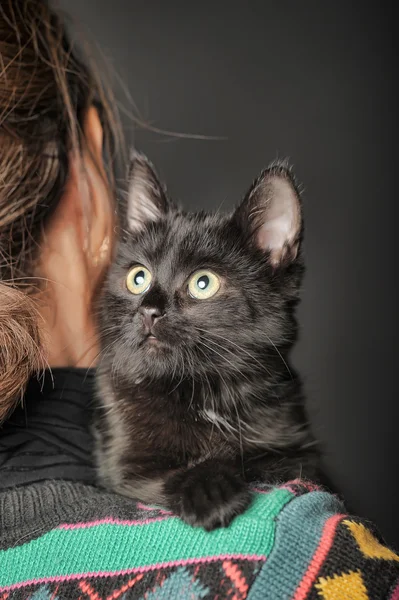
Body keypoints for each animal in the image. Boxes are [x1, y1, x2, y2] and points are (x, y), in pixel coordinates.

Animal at [96, 154, 322, 528]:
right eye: (138, 278)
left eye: (203, 283)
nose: (149, 310)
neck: (203, 390)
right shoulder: (126, 466)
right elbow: (168, 474)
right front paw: (212, 493)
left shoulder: (298, 449)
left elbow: (271, 464)